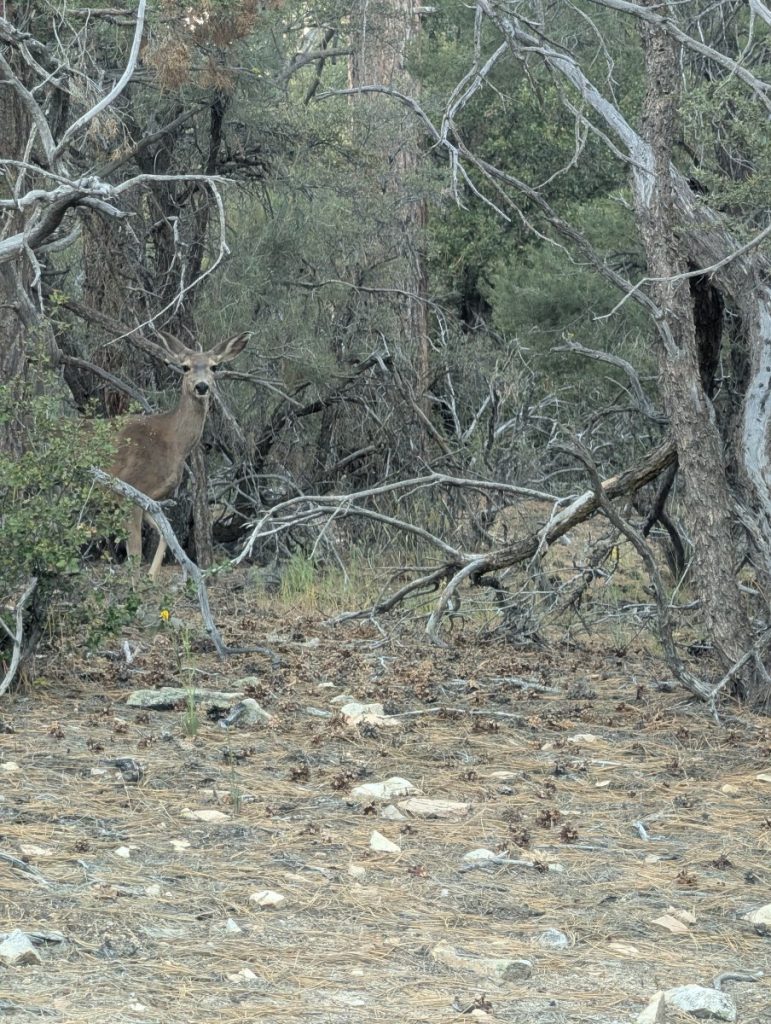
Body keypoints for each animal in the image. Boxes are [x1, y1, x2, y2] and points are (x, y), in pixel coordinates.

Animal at [108, 331, 250, 579]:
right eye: (185, 367)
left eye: (214, 366)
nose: (202, 386)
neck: (173, 443)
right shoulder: (129, 487)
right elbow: (135, 552)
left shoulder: (152, 497)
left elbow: (166, 535)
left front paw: (152, 575)